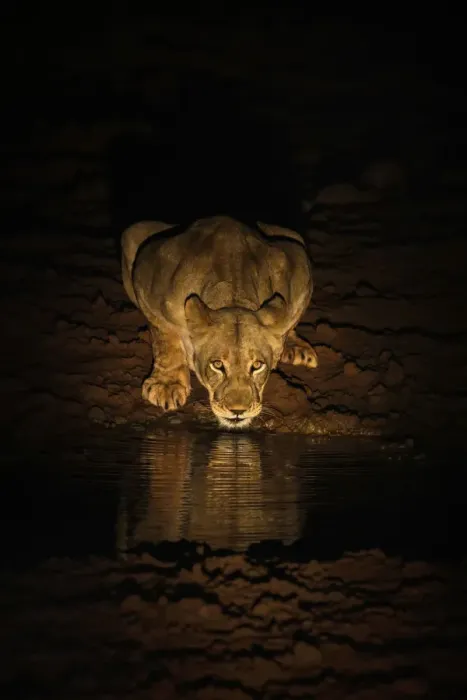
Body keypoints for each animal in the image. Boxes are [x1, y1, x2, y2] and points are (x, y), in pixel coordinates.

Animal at [121, 215, 318, 428]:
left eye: (257, 365)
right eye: (217, 365)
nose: (238, 412)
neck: (233, 295)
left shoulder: (298, 267)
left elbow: (288, 323)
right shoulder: (149, 282)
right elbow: (164, 336)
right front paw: (167, 385)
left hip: (294, 238)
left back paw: (297, 349)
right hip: (135, 231)